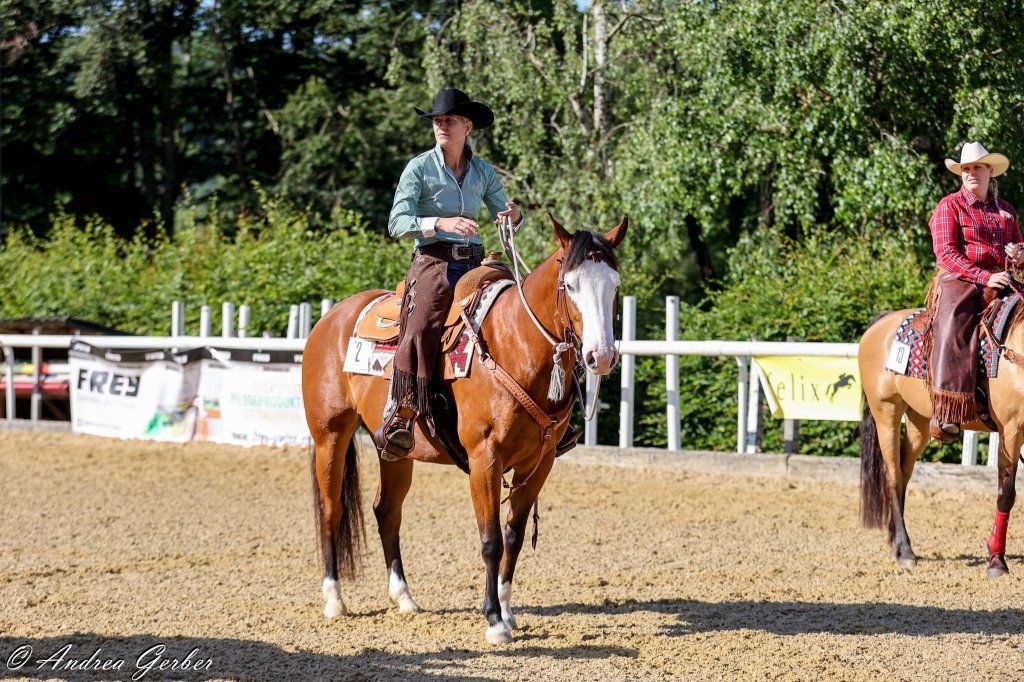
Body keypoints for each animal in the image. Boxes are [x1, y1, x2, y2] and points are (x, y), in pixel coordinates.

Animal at [301, 216, 627, 643]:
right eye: (570, 285)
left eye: (615, 286)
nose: (600, 356)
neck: (515, 345)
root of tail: (331, 319)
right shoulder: (484, 459)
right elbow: (490, 541)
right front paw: (493, 621)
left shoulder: (539, 465)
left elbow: (513, 537)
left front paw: (507, 611)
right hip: (330, 435)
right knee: (330, 510)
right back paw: (334, 600)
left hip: (395, 451)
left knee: (386, 510)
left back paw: (404, 597)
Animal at [858, 300, 1024, 577]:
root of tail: (881, 323)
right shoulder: (1011, 430)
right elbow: (1006, 493)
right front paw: (997, 562)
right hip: (886, 411)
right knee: (892, 478)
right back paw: (906, 552)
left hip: (919, 422)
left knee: (903, 474)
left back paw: (896, 545)